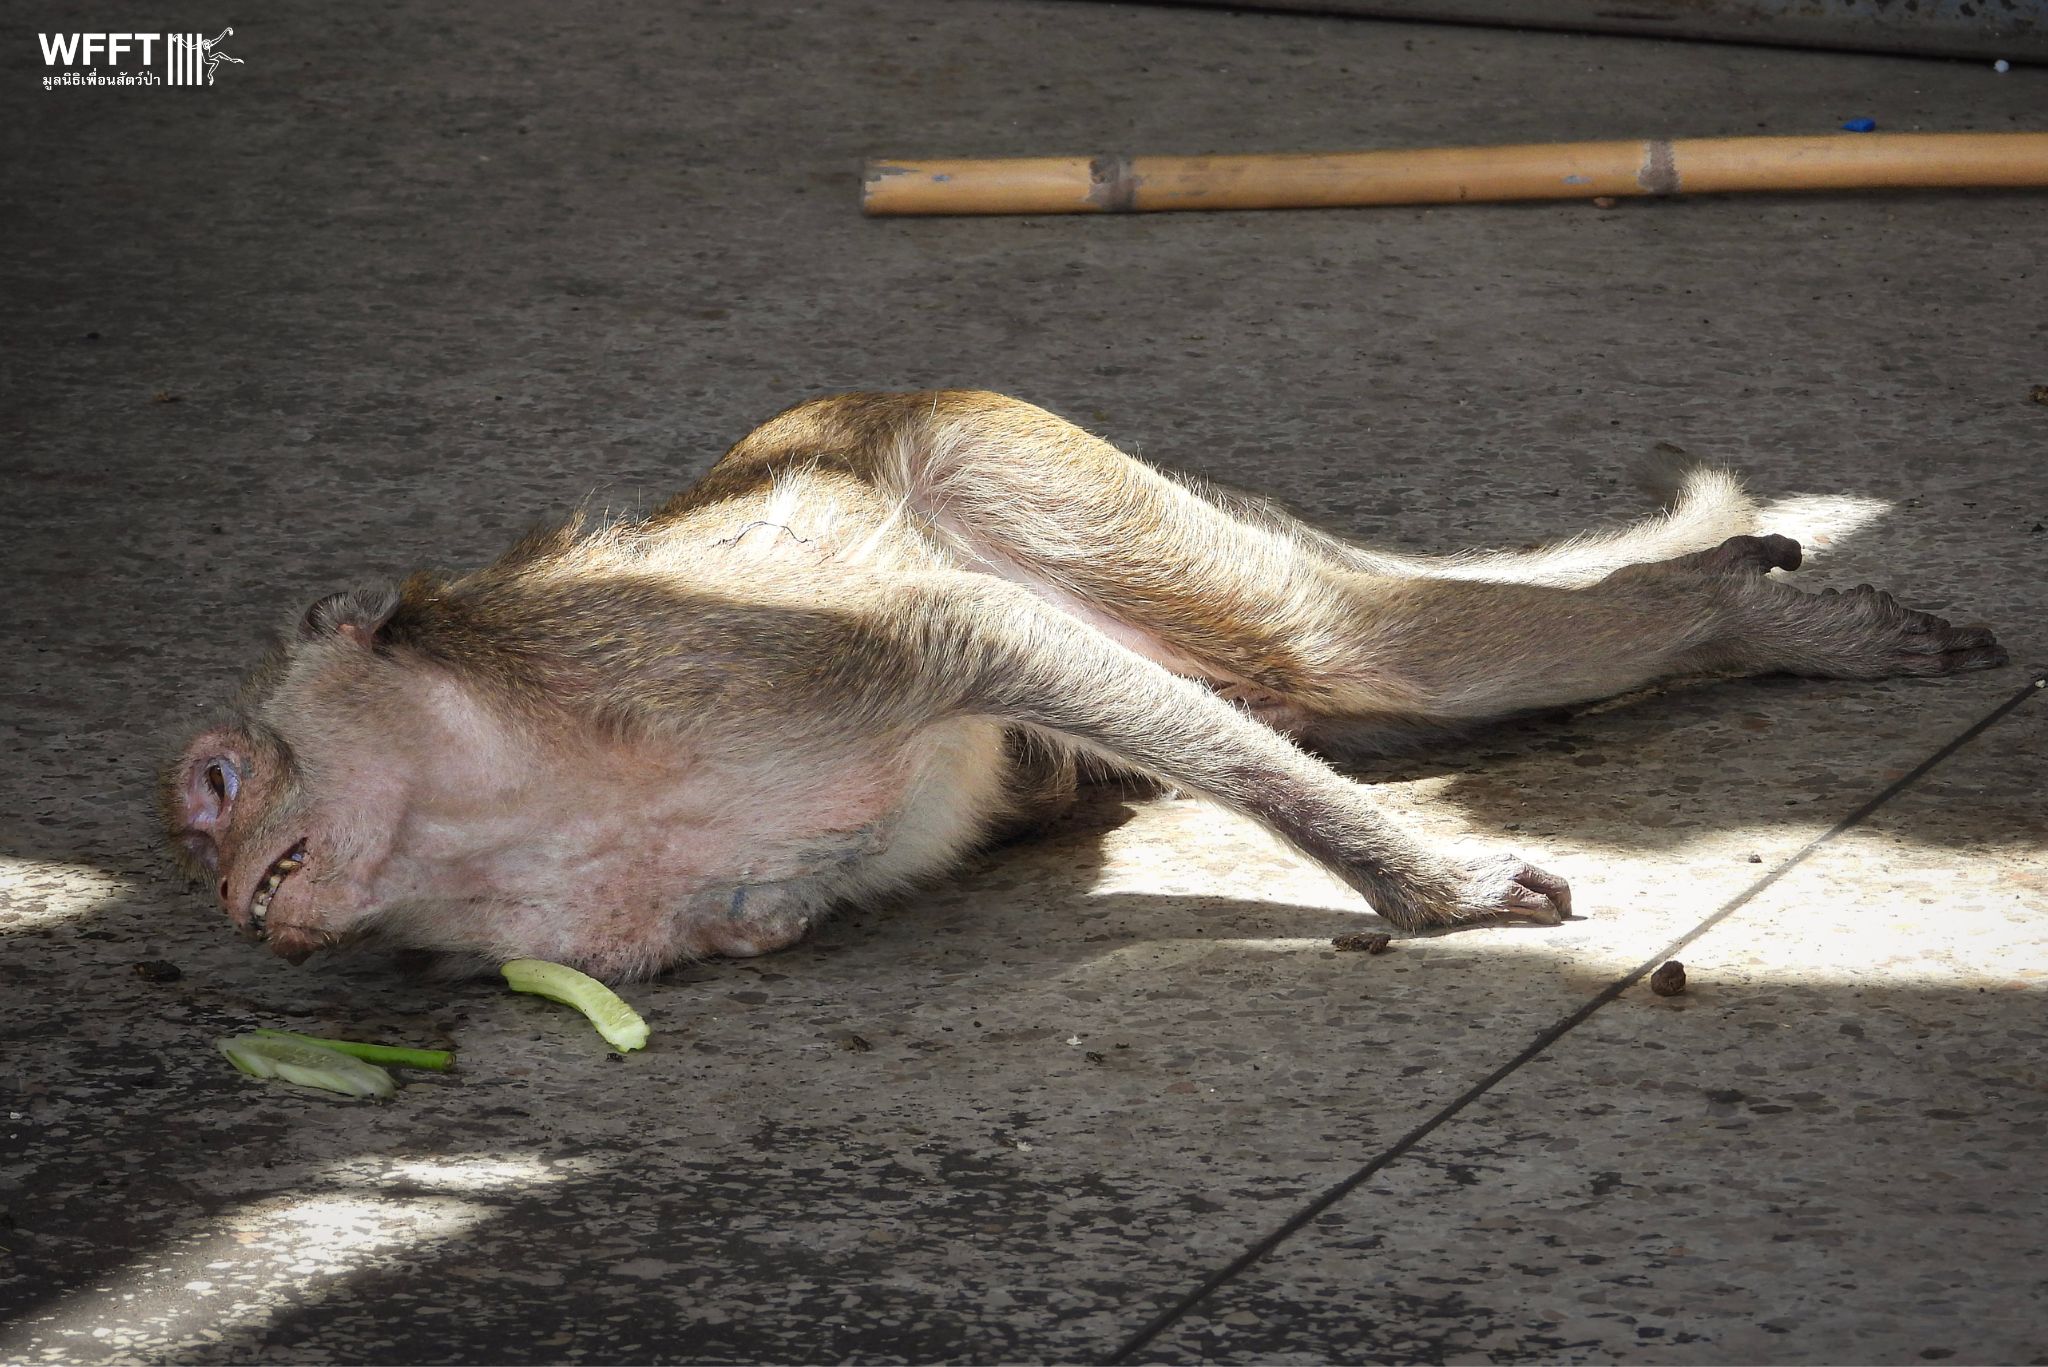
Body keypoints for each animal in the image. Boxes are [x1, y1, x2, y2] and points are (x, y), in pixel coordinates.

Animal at [163, 391, 2007, 982]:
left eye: (222, 779)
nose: (203, 845)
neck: (502, 795)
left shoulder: (670, 645)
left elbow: (987, 646)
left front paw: (1428, 886)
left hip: (1015, 459)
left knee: (1350, 644)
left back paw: (1732, 620)